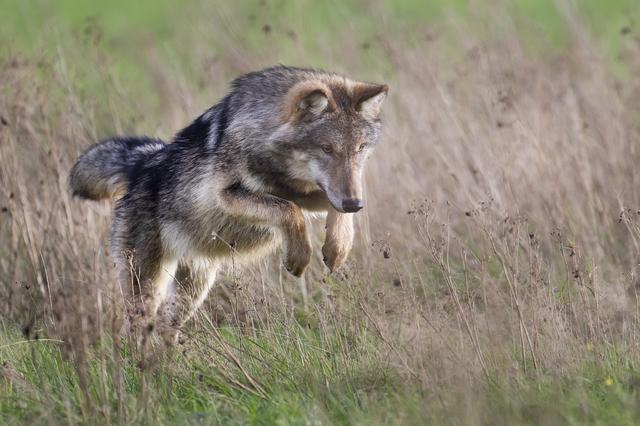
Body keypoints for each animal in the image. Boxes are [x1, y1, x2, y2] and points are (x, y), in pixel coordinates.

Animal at [69, 65, 388, 343]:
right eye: (326, 148)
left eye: (359, 148)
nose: (354, 203)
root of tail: (141, 165)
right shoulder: (230, 195)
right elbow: (289, 211)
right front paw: (299, 256)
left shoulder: (313, 194)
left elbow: (326, 211)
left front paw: (337, 248)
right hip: (147, 288)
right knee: (130, 333)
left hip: (192, 290)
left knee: (165, 331)